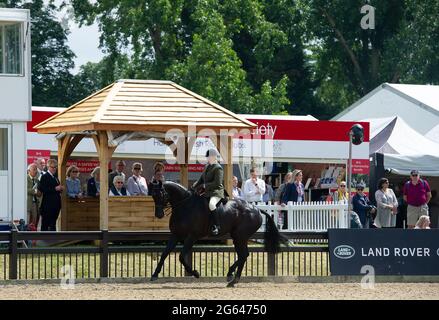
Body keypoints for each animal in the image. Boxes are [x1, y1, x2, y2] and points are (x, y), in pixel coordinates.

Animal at [150, 180, 284, 288]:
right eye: (152, 196)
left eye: (161, 195)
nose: (159, 215)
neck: (185, 206)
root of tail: (256, 209)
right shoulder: (175, 235)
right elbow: (164, 254)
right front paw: (154, 274)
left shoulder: (191, 236)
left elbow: (182, 256)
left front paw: (195, 273)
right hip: (238, 237)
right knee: (243, 255)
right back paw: (231, 277)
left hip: (240, 237)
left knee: (243, 255)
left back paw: (232, 279)